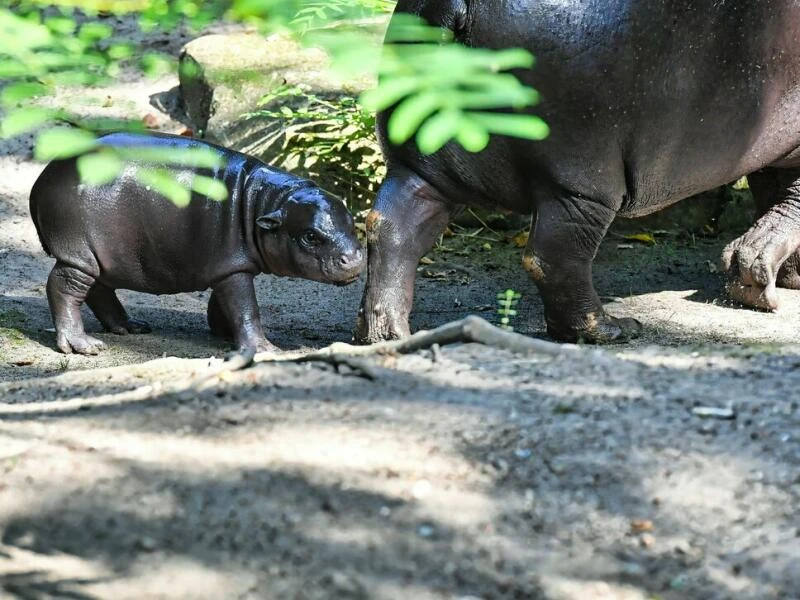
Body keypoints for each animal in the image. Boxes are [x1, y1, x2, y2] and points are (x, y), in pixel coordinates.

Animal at [29, 132, 364, 352]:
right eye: (310, 236)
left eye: (351, 220)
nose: (355, 258)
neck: (265, 201)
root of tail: (42, 179)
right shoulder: (233, 268)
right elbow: (247, 308)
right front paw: (266, 349)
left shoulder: (229, 266)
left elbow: (227, 304)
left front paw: (224, 334)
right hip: (78, 253)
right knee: (64, 287)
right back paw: (83, 345)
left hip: (100, 255)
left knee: (99, 288)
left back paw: (130, 327)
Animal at [356, 0, 800, 344]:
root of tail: (457, 6)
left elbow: (777, 200)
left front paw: (767, 275)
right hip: (581, 185)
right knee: (553, 257)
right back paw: (610, 329)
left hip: (420, 168)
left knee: (392, 228)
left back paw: (385, 334)